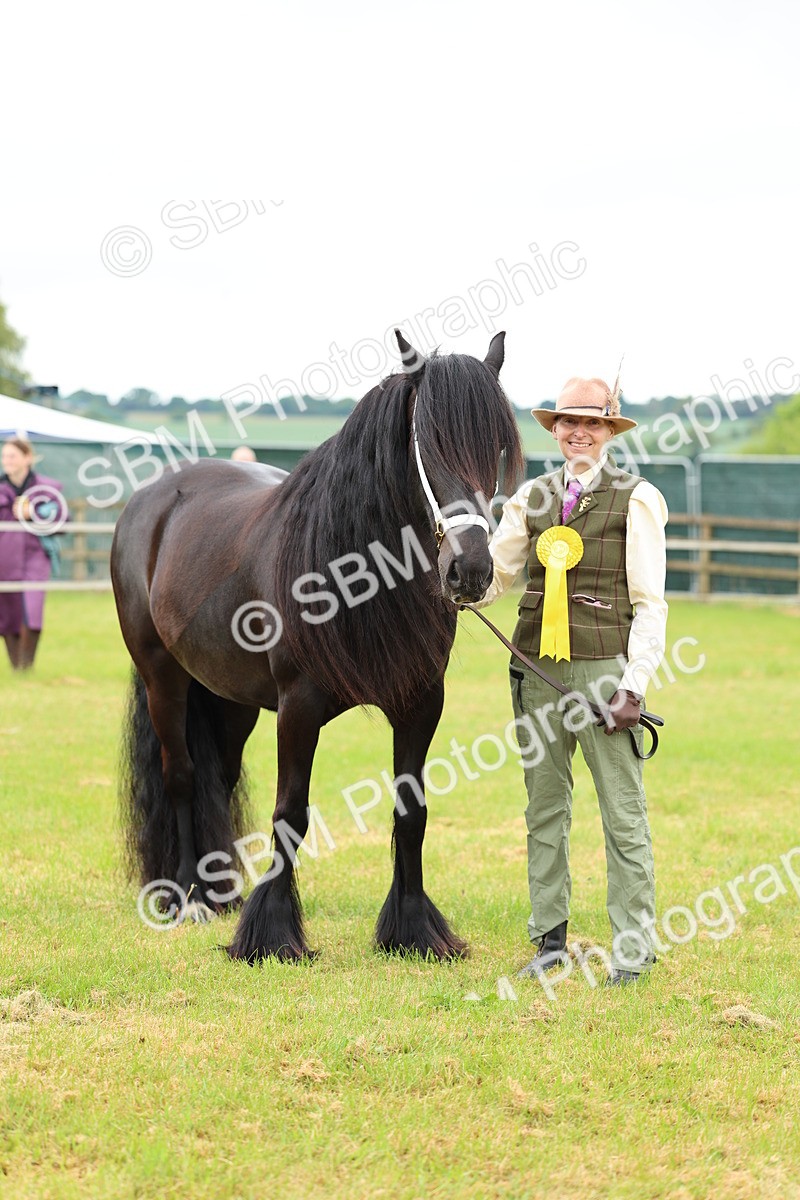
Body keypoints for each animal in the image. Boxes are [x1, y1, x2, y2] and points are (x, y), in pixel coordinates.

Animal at [111, 330, 523, 962]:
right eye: (426, 443)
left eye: (498, 449)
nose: (471, 571)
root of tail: (150, 499)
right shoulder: (298, 707)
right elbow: (291, 814)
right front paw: (271, 936)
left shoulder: (421, 704)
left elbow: (412, 812)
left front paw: (413, 930)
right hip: (164, 677)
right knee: (179, 774)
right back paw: (189, 898)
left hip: (231, 699)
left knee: (217, 778)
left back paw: (220, 890)